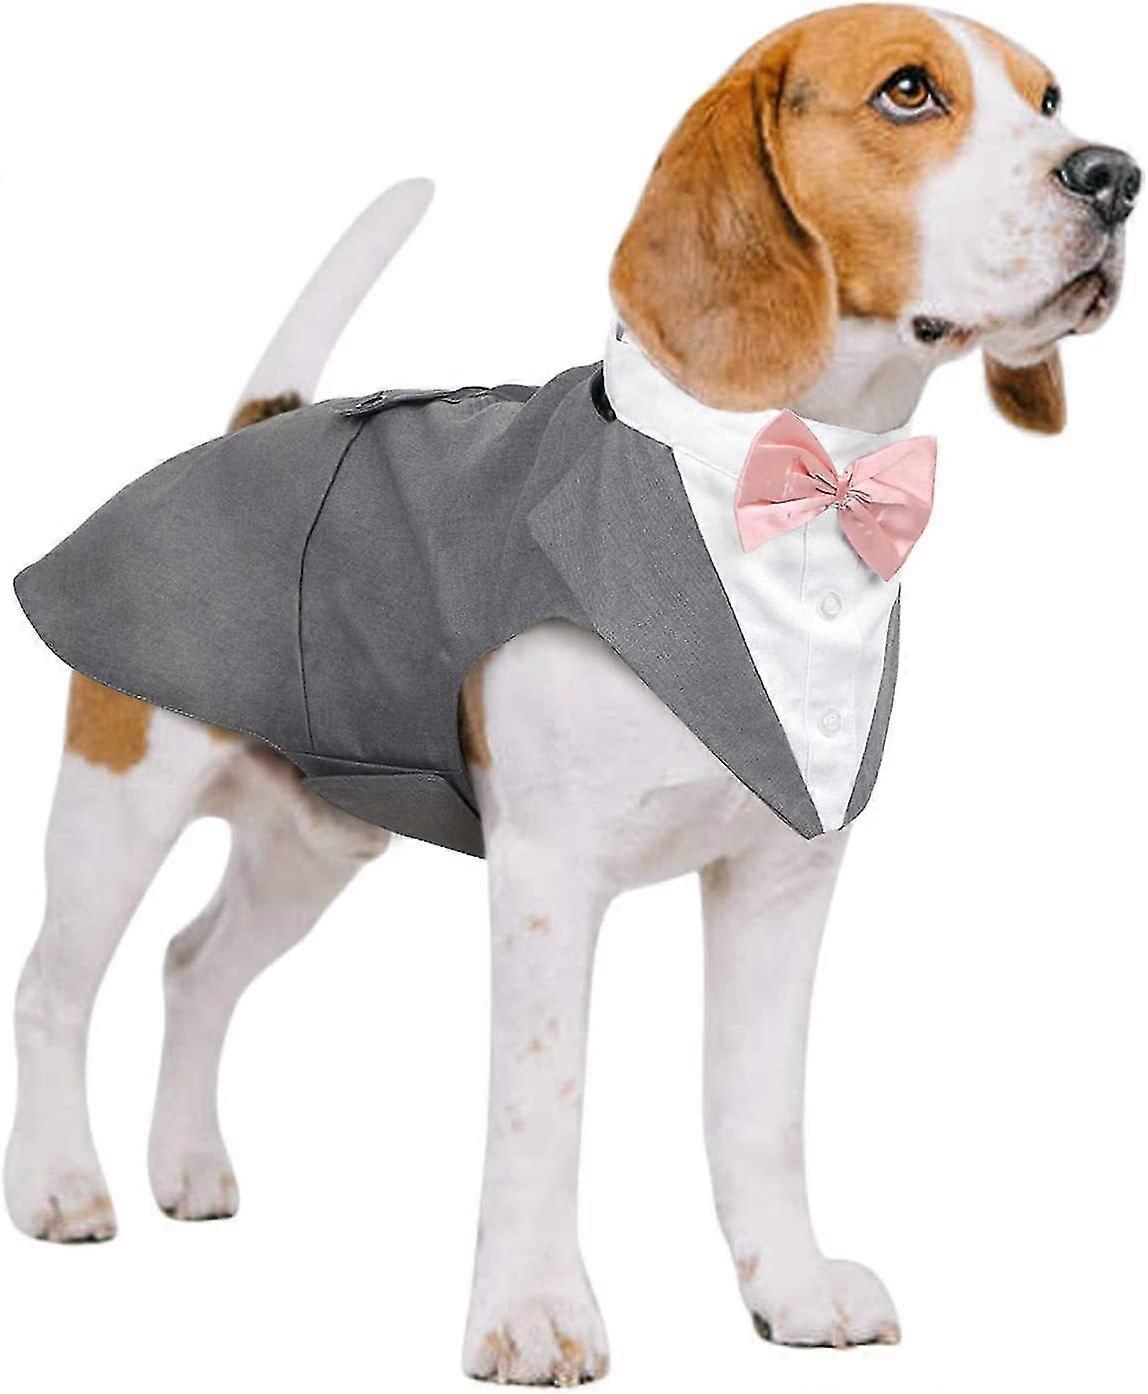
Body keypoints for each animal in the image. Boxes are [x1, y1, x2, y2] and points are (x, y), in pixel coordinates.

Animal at [7, 5, 1138, 1385]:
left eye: (1048, 94)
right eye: (908, 92)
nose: (1112, 176)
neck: (788, 478)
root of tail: (248, 429)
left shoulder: (782, 880)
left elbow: (758, 1106)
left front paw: (789, 1283)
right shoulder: (547, 876)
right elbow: (542, 1103)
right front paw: (535, 1309)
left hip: (308, 846)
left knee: (191, 967)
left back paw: (186, 1164)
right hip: (118, 807)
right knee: (53, 987)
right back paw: (60, 1181)